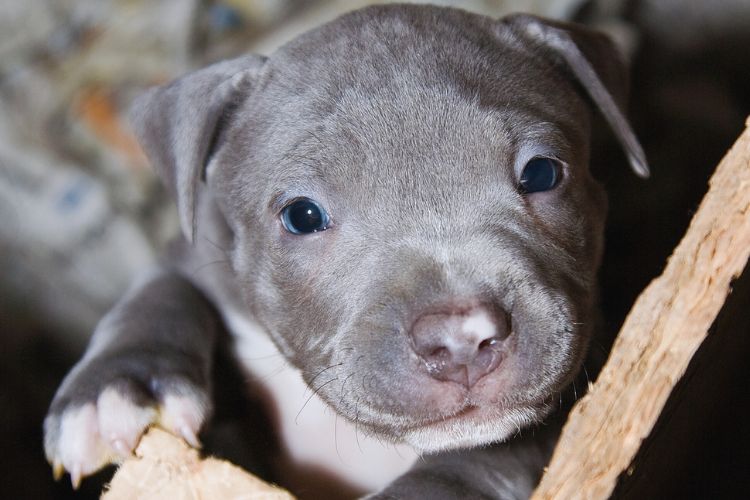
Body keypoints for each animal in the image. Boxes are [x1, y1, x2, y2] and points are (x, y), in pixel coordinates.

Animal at [44, 4, 648, 500]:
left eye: (542, 173)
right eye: (303, 216)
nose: (462, 339)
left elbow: (480, 460)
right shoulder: (198, 255)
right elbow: (157, 291)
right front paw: (117, 388)